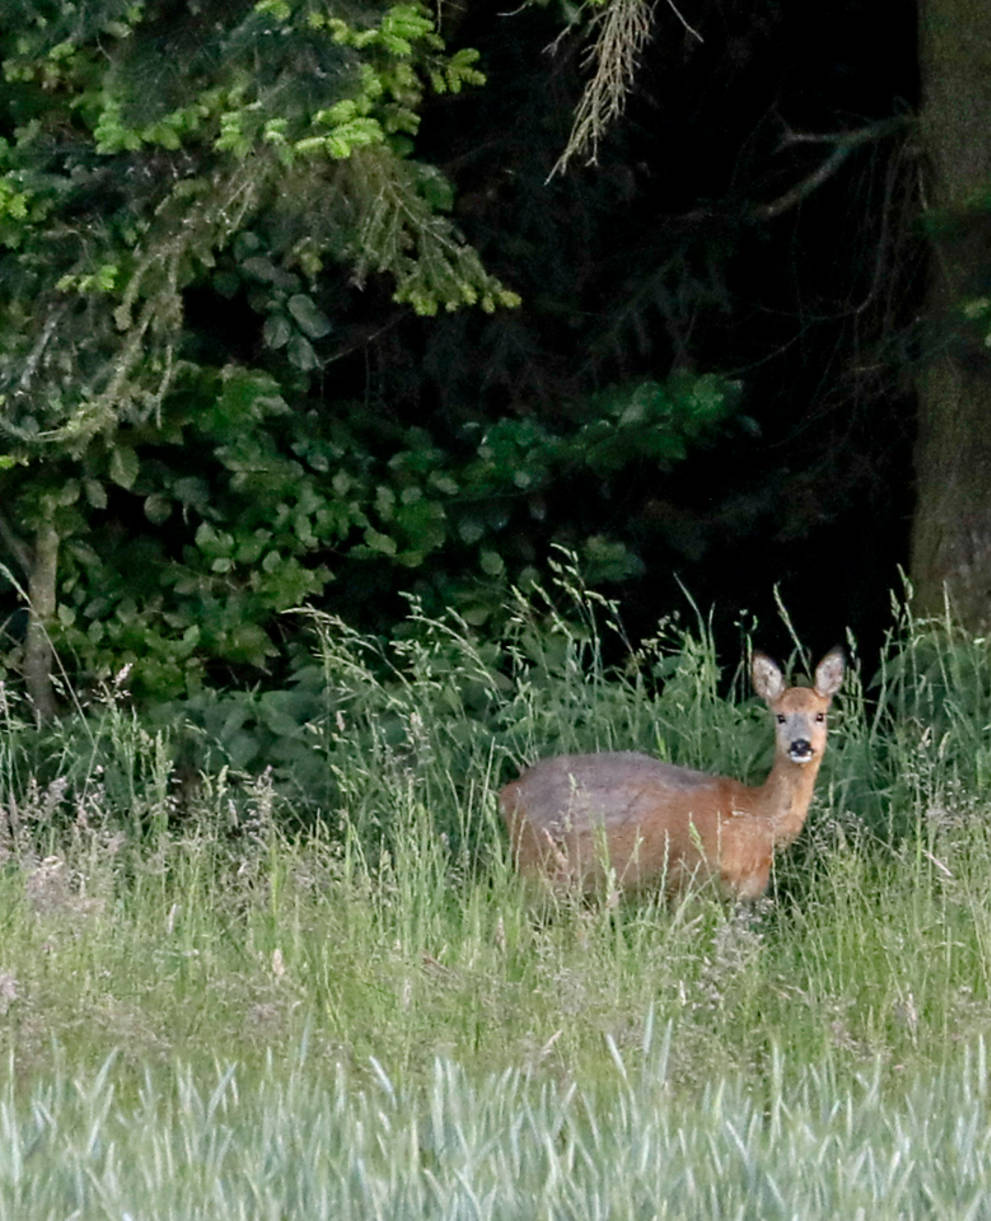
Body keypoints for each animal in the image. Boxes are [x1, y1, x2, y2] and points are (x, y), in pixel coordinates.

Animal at [500, 649, 839, 898]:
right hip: (540, 864)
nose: (800, 744)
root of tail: (508, 793)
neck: (756, 817)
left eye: (820, 715)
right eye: (780, 717)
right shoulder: (691, 876)